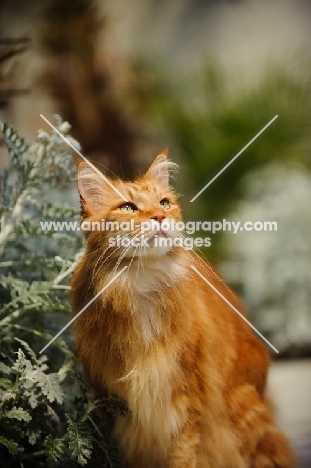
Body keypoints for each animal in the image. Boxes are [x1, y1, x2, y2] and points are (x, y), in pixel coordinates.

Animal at [71, 154, 298, 468]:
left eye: (164, 203)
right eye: (128, 207)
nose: (159, 216)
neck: (142, 283)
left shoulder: (187, 404)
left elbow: (183, 455)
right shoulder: (122, 413)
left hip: (244, 416)